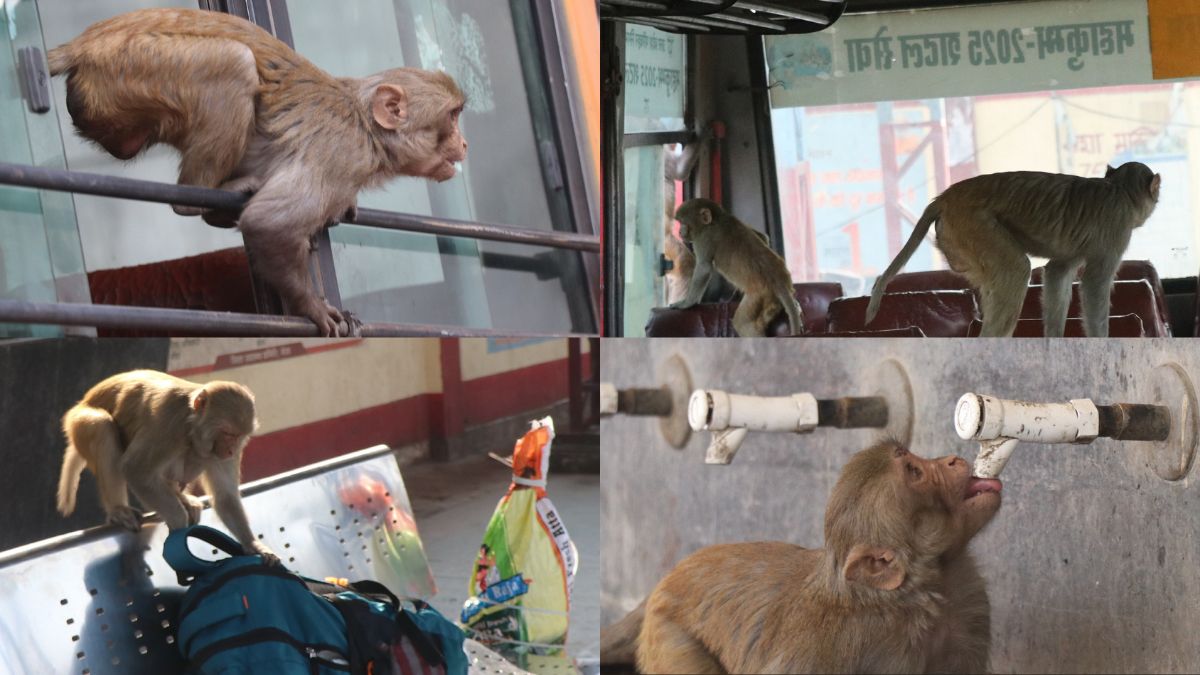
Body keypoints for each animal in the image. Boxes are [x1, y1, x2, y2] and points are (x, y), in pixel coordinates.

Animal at [47, 8, 468, 336]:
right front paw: (310, 307)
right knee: (234, 65)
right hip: (137, 67)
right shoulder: (341, 155)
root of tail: (84, 44)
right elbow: (269, 223)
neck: (367, 127)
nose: (464, 143)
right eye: (452, 116)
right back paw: (199, 198)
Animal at [57, 370, 278, 565]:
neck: (191, 423)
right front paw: (179, 523)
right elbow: (136, 470)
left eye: (239, 436)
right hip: (78, 423)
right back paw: (119, 509)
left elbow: (225, 496)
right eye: (227, 433)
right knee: (101, 425)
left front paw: (253, 544)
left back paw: (182, 497)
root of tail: (84, 400)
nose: (231, 451)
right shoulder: (168, 425)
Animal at [601, 440, 1002, 674]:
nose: (951, 460)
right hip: (667, 635)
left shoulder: (969, 608)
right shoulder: (843, 647)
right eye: (915, 472)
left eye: (913, 458)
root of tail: (668, 578)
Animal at [669, 199, 805, 337]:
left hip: (761, 295)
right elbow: (763, 236)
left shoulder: (704, 239)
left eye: (683, 223)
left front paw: (687, 303)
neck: (717, 219)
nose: (679, 232)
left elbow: (704, 267)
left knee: (742, 323)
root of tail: (779, 281)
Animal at [865, 162, 1160, 337]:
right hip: (974, 226)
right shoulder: (1117, 229)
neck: (1119, 190)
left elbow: (1057, 272)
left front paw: (1055, 338)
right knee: (1016, 270)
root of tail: (945, 198)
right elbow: (1094, 282)